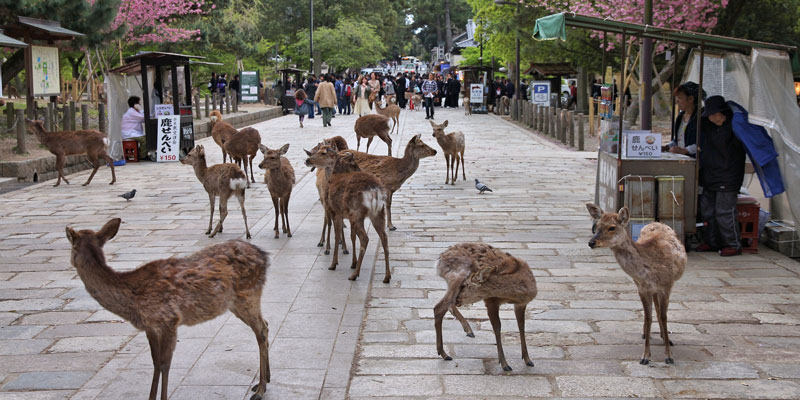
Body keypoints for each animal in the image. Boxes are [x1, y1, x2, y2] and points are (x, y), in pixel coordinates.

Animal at [66, 219, 272, 400]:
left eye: (71, 247)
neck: (133, 298)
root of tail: (264, 256)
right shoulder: (150, 327)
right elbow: (155, 362)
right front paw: (150, 398)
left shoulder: (169, 320)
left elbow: (165, 364)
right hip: (236, 304)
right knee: (266, 324)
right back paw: (265, 380)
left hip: (248, 295)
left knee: (261, 330)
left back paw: (261, 389)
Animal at [304, 146, 392, 282]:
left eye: (323, 153)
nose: (307, 160)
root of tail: (375, 190)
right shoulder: (344, 215)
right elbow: (351, 235)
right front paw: (352, 262)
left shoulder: (336, 211)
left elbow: (337, 235)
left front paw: (333, 264)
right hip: (378, 213)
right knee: (384, 238)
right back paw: (387, 277)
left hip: (357, 213)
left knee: (365, 238)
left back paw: (354, 275)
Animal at [434, 244, 540, 372]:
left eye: (465, 285)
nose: (458, 299)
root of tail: (440, 259)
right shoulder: (491, 300)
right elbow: (497, 327)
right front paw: (504, 364)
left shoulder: (521, 304)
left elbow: (522, 327)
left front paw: (528, 360)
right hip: (457, 276)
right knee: (439, 307)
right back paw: (444, 354)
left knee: (447, 305)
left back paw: (468, 331)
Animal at [580, 205, 688, 364]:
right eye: (597, 226)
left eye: (612, 227)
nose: (591, 243)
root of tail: (656, 222)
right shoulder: (642, 288)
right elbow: (648, 317)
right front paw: (645, 357)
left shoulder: (667, 285)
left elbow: (664, 316)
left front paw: (669, 356)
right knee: (652, 311)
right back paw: (647, 334)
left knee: (659, 311)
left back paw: (665, 337)